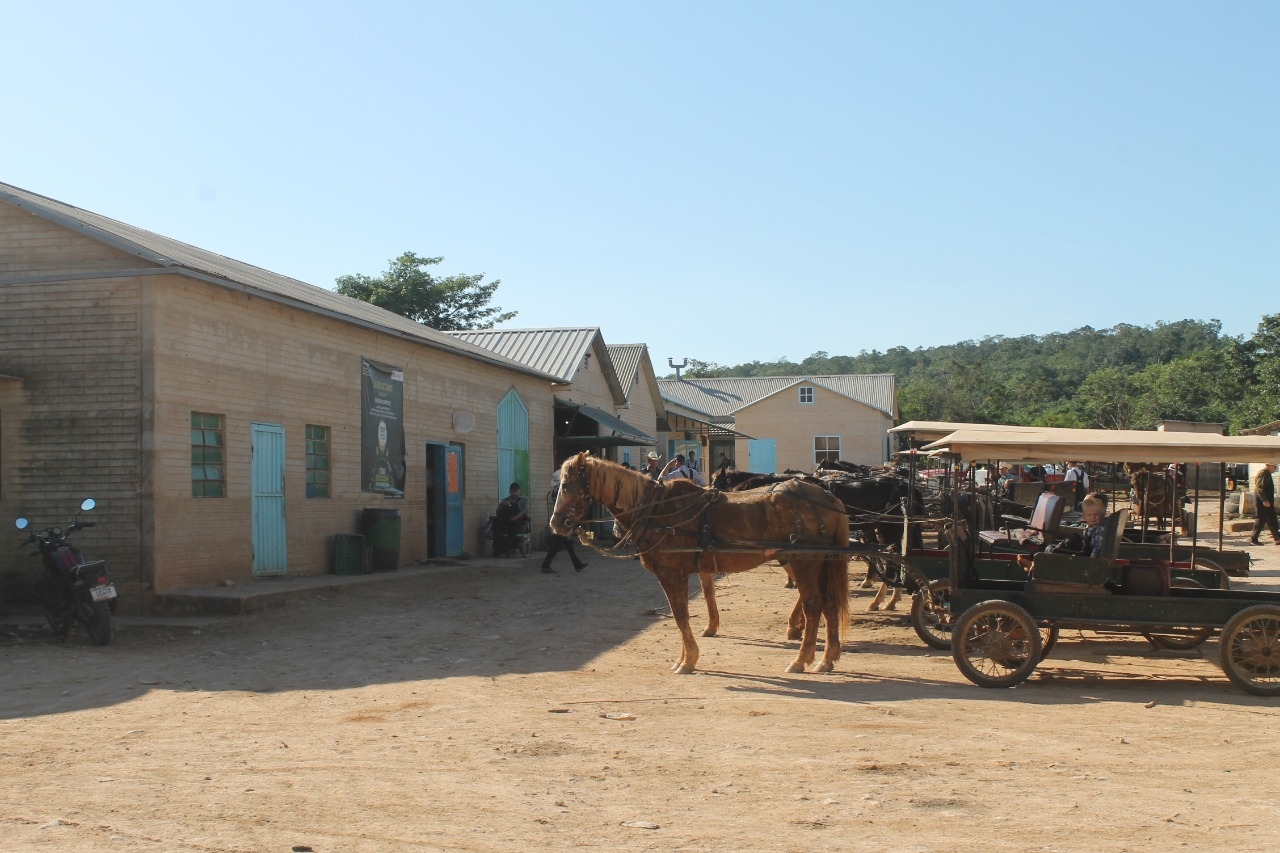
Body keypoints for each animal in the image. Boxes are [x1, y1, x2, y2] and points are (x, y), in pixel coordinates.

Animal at [550, 450, 849, 671]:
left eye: (565, 485)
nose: (556, 523)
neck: (655, 509)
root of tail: (828, 498)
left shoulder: (670, 572)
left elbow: (680, 614)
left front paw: (688, 660)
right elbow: (686, 609)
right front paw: (686, 656)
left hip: (804, 562)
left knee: (814, 605)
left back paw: (801, 659)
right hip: (819, 563)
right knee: (829, 604)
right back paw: (827, 658)